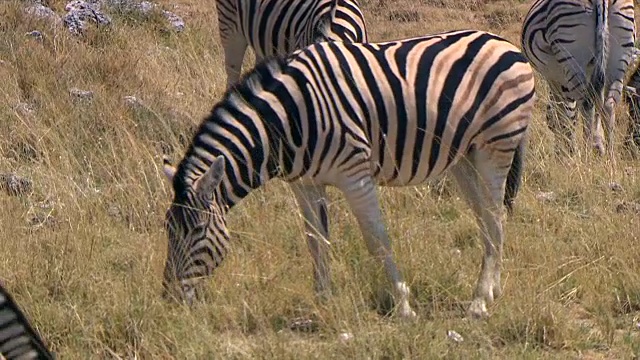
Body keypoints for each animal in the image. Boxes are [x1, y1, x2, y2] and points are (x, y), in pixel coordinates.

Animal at [160, 29, 536, 320]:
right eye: (168, 229)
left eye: (197, 230)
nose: (169, 300)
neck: (286, 123)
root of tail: (504, 42)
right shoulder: (304, 183)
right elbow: (315, 240)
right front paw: (322, 300)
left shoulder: (355, 174)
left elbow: (377, 240)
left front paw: (403, 305)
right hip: (464, 159)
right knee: (488, 220)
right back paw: (492, 288)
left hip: (495, 147)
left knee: (494, 218)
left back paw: (480, 302)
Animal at [520, 0, 636, 159]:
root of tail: (601, 1)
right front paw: (598, 145)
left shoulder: (556, 80)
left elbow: (562, 115)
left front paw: (567, 151)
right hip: (618, 60)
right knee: (608, 105)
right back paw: (611, 157)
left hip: (572, 54)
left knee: (586, 105)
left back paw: (586, 155)